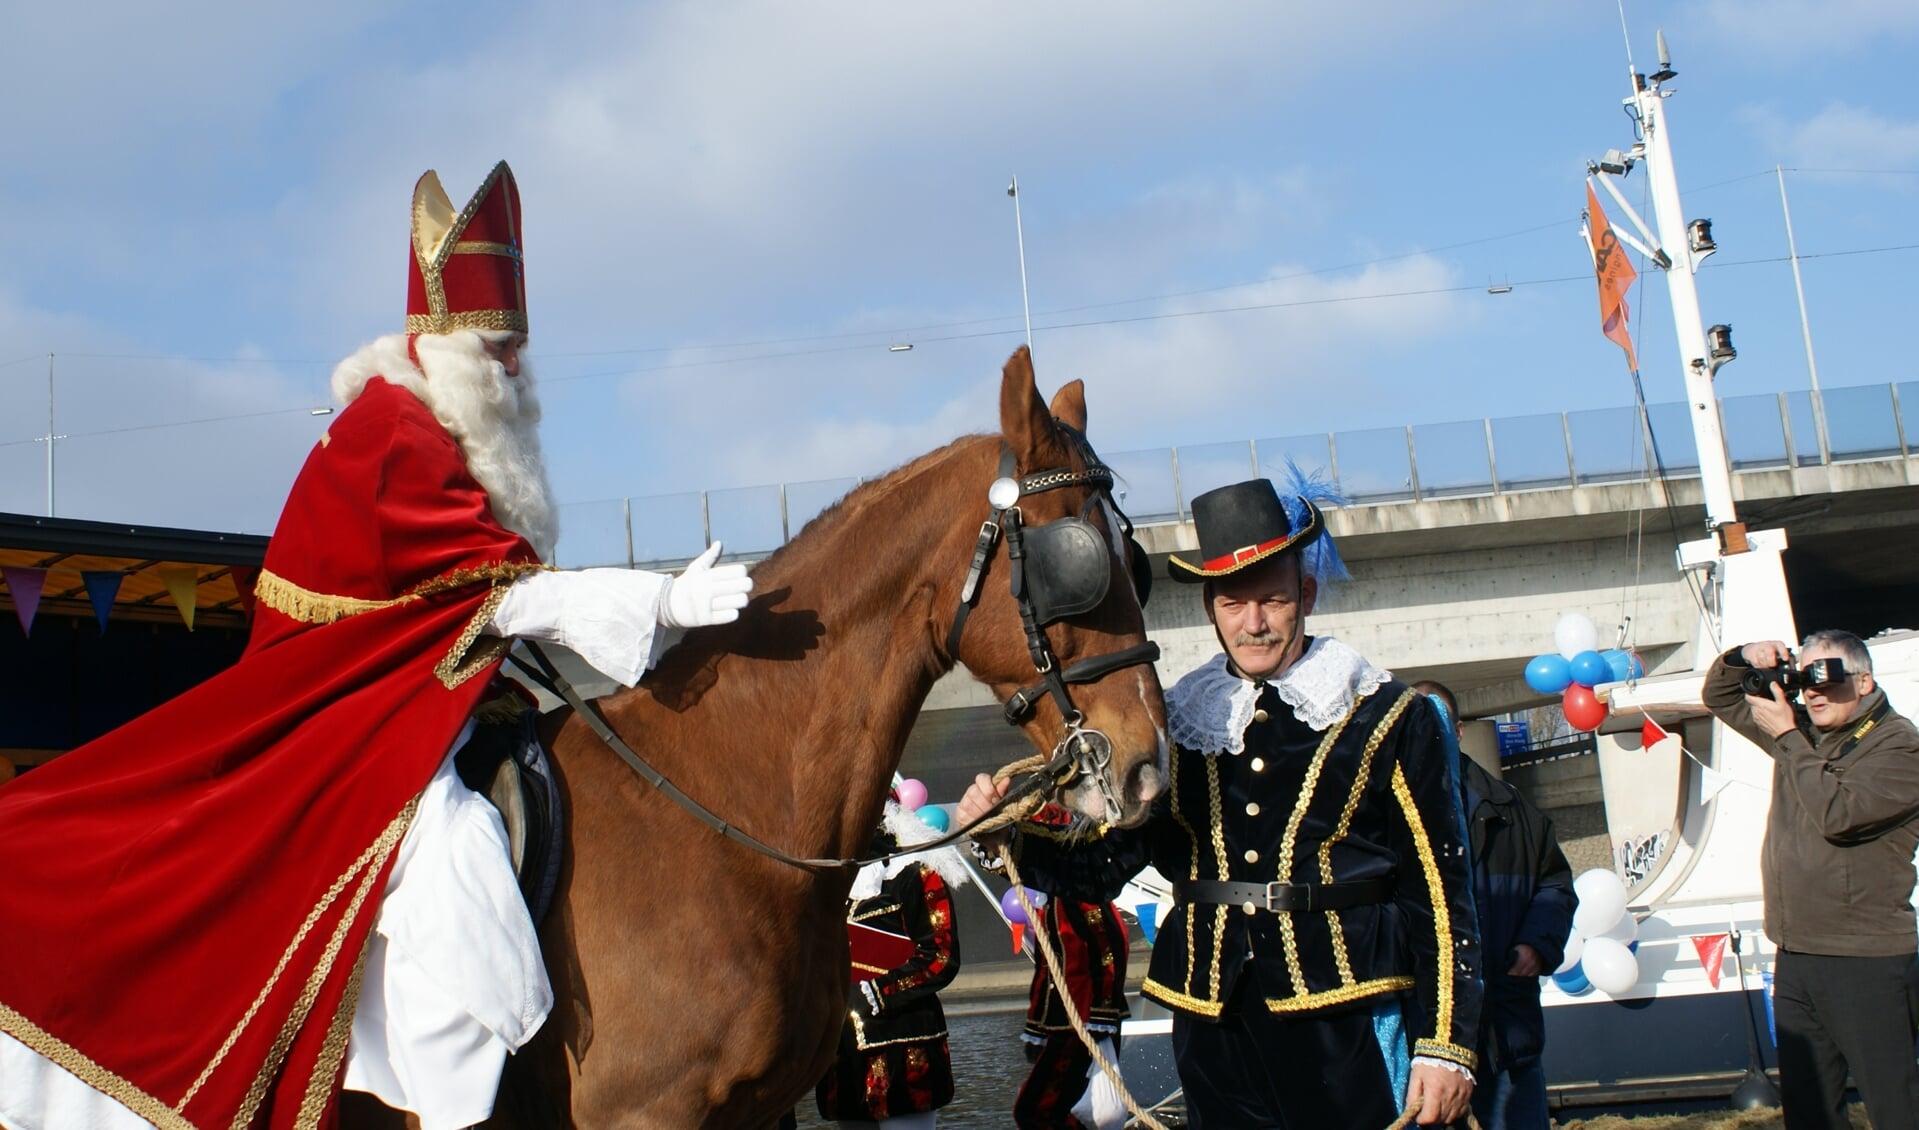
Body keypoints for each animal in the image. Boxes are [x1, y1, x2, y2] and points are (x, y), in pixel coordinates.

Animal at [351, 347, 1159, 1120]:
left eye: (1133, 560)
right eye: (1076, 560)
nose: (1148, 765)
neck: (720, 809)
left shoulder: (756, 1108)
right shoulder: (644, 1110)